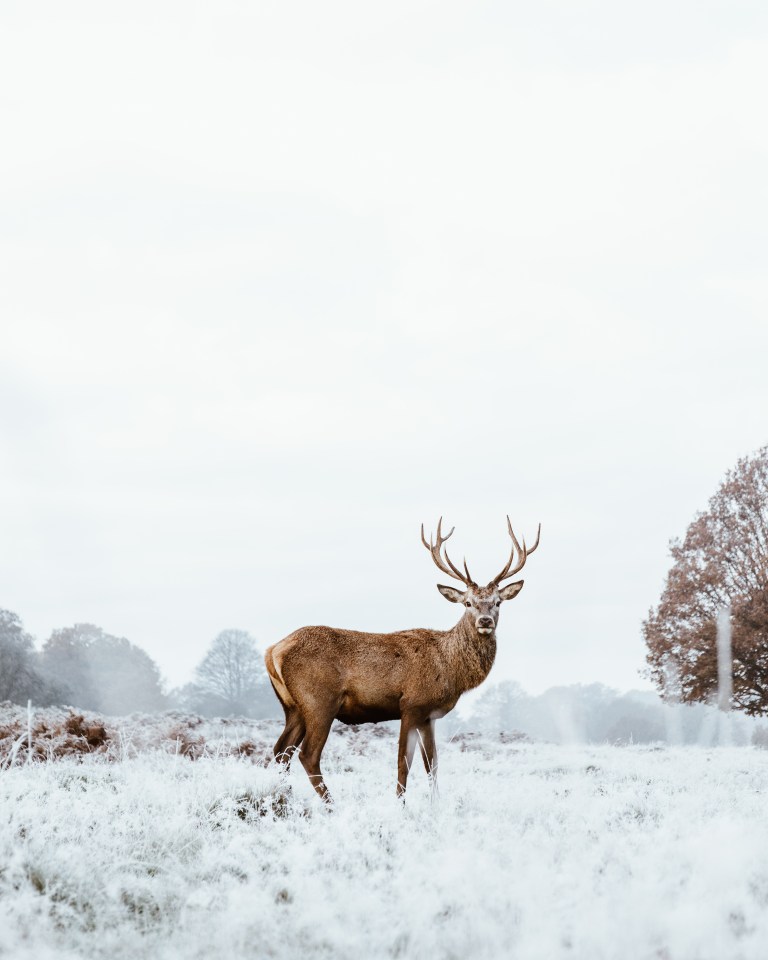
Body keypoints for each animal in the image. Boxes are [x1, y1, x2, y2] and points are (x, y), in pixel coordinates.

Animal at [264, 516, 540, 804]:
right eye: (467, 603)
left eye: (497, 602)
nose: (485, 621)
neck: (450, 668)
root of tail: (273, 650)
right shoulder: (410, 704)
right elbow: (403, 762)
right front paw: (400, 804)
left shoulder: (429, 715)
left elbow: (432, 764)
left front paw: (435, 804)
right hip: (320, 701)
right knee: (307, 754)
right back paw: (331, 804)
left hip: (293, 707)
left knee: (281, 750)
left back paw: (283, 798)